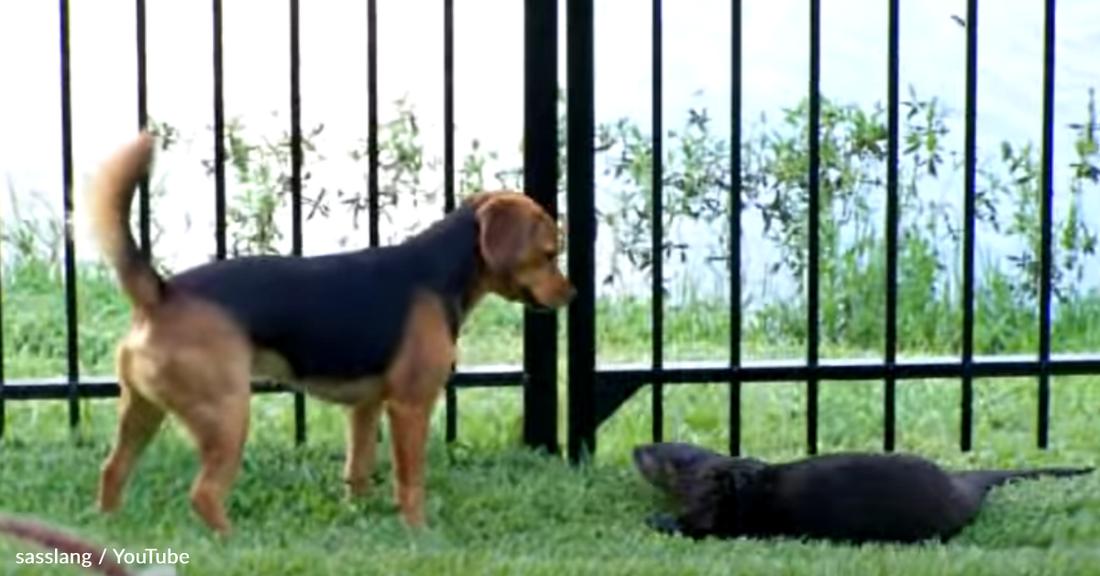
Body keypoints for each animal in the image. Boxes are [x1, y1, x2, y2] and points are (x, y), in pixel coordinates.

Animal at [85, 130, 576, 536]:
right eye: (550, 253)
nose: (571, 293)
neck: (441, 271)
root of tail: (161, 293)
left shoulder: (366, 408)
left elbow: (358, 470)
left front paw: (359, 515)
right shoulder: (411, 406)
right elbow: (410, 479)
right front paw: (418, 531)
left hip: (142, 412)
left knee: (112, 469)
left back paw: (109, 527)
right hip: (226, 415)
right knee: (203, 494)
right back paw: (230, 539)